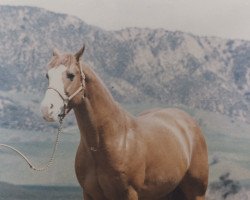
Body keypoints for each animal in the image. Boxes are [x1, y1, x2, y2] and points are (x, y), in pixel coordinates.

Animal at [41, 45, 209, 200]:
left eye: (71, 75)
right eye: (47, 76)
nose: (47, 109)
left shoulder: (129, 193)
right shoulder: (89, 194)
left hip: (196, 193)